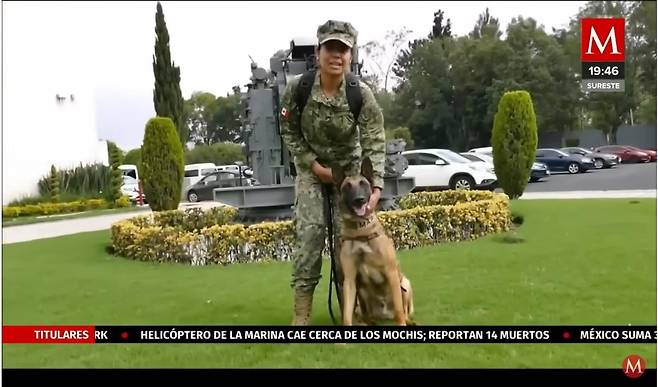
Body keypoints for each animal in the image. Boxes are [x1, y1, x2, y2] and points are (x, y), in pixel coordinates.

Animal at [330, 158, 412, 328]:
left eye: (363, 184)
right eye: (347, 187)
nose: (359, 200)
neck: (360, 231)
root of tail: (384, 316)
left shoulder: (391, 273)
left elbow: (399, 310)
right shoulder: (349, 280)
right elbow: (346, 314)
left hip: (405, 283)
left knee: (403, 310)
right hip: (362, 296)